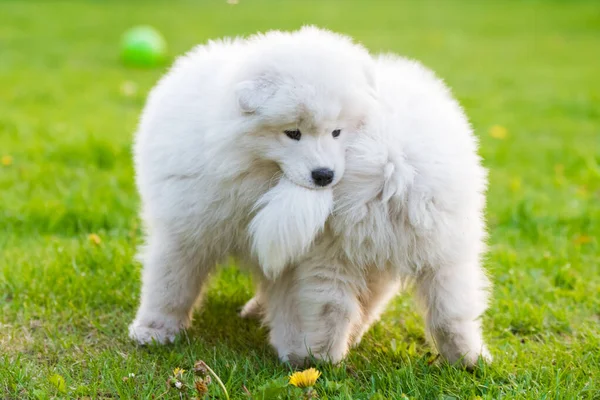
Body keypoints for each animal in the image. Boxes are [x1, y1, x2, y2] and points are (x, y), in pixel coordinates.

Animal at [129, 26, 490, 368]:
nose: (324, 176)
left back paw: (313, 355)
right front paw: (154, 330)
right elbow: (172, 282)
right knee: (444, 306)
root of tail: (396, 163)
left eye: (336, 131)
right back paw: (466, 358)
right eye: (293, 133)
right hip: (427, 246)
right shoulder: (187, 227)